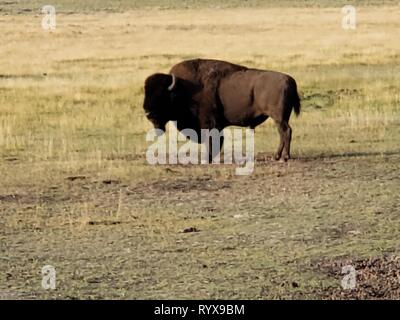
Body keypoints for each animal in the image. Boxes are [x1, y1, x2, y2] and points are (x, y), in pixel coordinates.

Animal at [144, 58, 300, 161]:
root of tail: (289, 80)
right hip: (281, 118)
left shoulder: (209, 123)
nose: (148, 113)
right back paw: (279, 156)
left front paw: (208, 158)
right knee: (284, 132)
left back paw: (283, 157)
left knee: (285, 132)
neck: (182, 88)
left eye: (161, 96)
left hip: (278, 117)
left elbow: (212, 139)